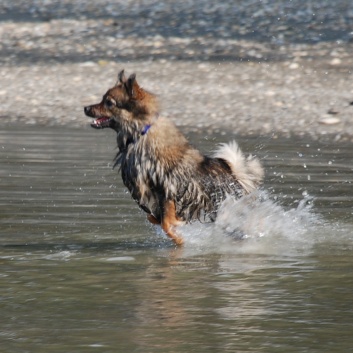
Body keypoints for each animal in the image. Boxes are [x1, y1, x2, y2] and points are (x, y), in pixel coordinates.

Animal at [84, 70, 262, 243]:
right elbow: (155, 218)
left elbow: (166, 223)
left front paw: (178, 235)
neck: (139, 135)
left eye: (109, 102)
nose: (85, 108)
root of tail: (234, 174)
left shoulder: (169, 188)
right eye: (102, 99)